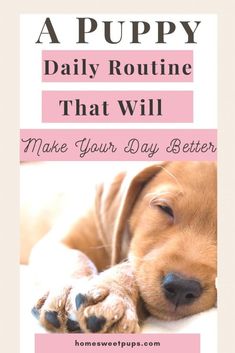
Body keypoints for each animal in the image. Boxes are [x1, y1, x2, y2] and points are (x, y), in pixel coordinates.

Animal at [23, 161, 217, 332]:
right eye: (164, 208)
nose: (182, 287)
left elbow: (131, 267)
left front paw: (116, 291)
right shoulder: (55, 243)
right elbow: (78, 259)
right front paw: (70, 290)